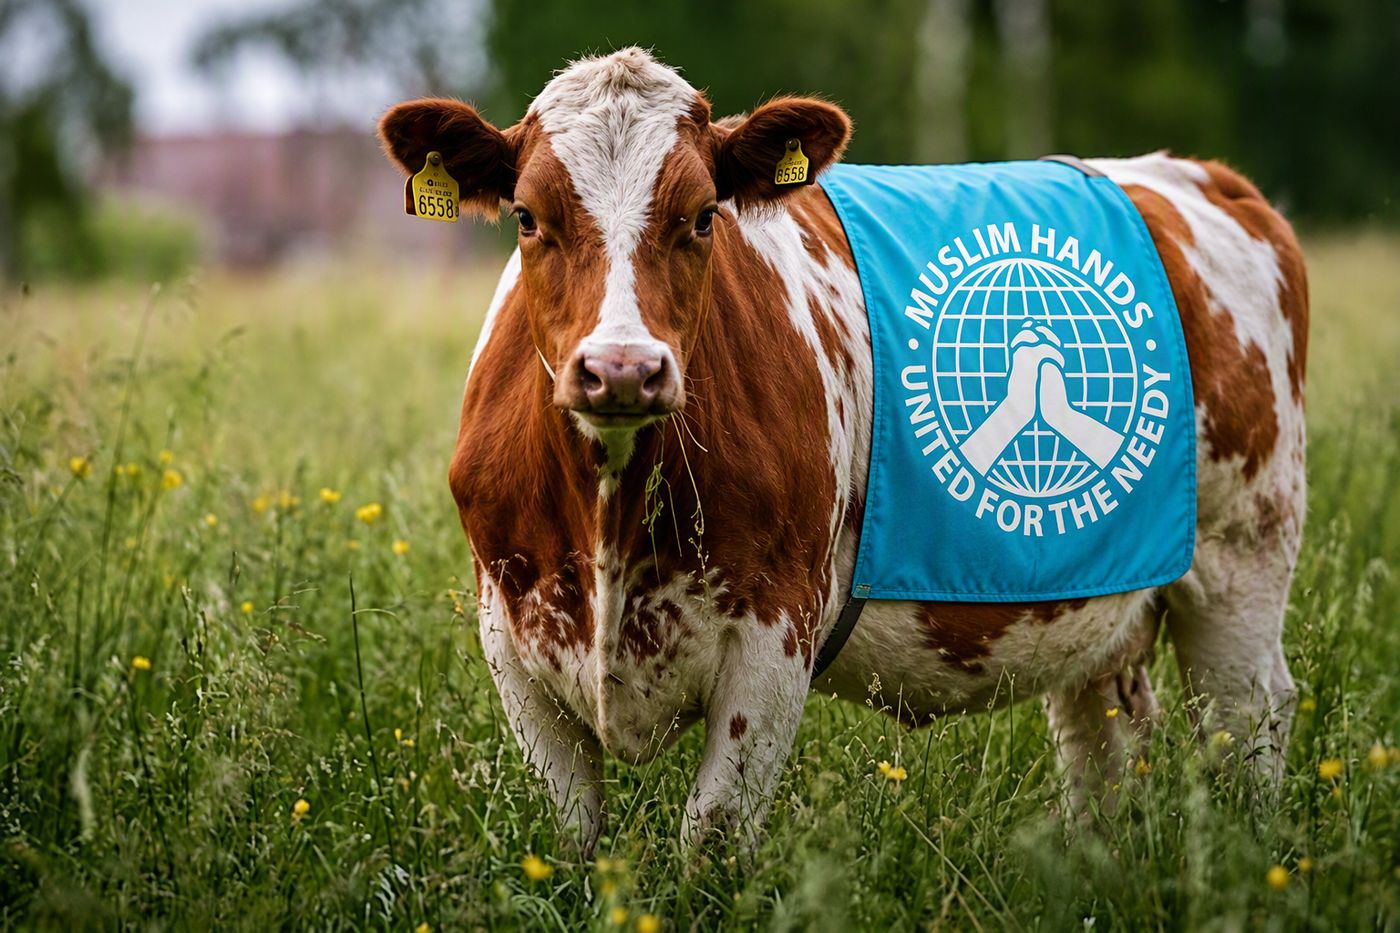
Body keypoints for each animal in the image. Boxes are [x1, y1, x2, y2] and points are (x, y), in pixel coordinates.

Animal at [378, 47, 1308, 851]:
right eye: (529, 217)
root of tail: (1188, 172)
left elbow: (711, 836)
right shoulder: (513, 641)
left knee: (1248, 717)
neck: (609, 514)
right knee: (1102, 736)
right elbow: (574, 837)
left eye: (703, 216)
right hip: (1104, 606)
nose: (623, 370)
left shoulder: (775, 632)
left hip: (1243, 555)